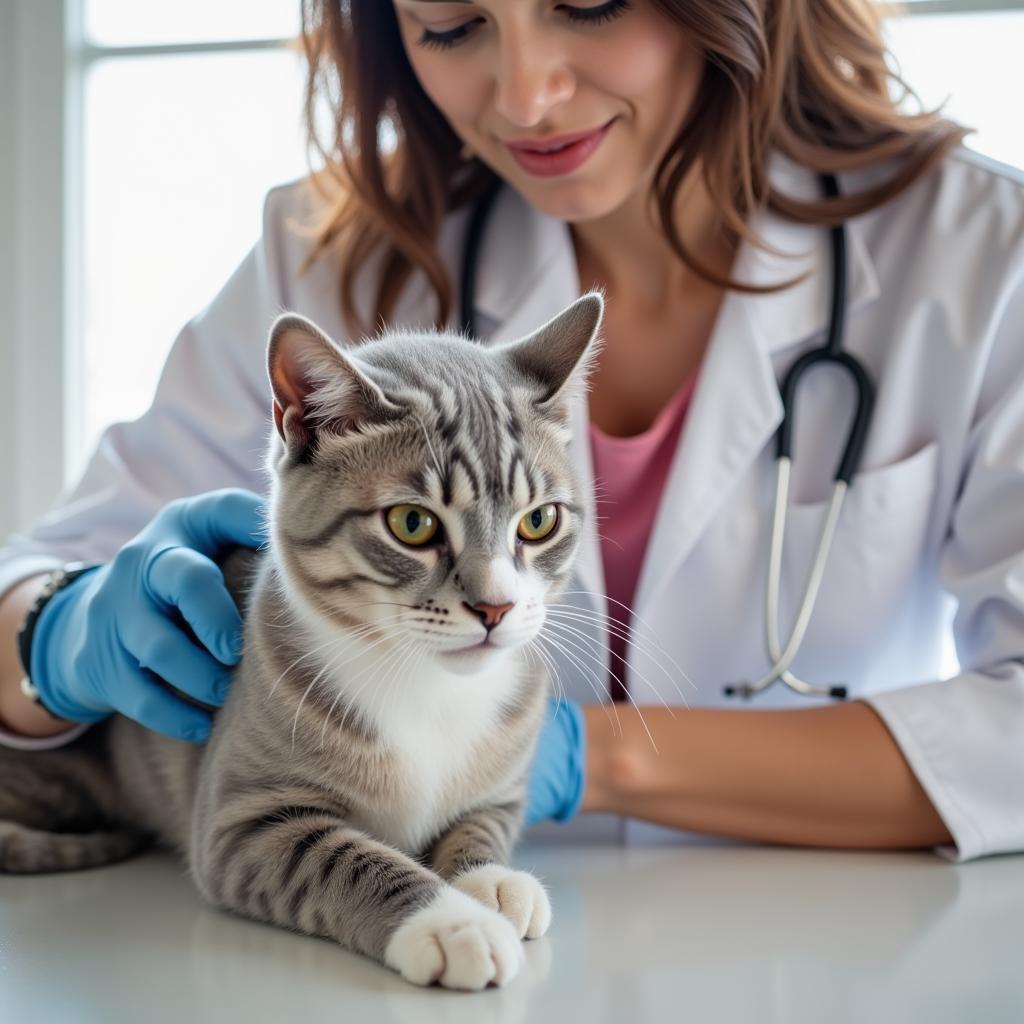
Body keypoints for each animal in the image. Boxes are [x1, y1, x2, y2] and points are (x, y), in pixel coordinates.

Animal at [0, 290, 606, 991]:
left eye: (539, 521)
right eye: (413, 523)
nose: (496, 606)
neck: (424, 682)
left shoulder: (504, 782)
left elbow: (482, 822)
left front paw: (490, 880)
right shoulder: (241, 824)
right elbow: (346, 860)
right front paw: (451, 922)